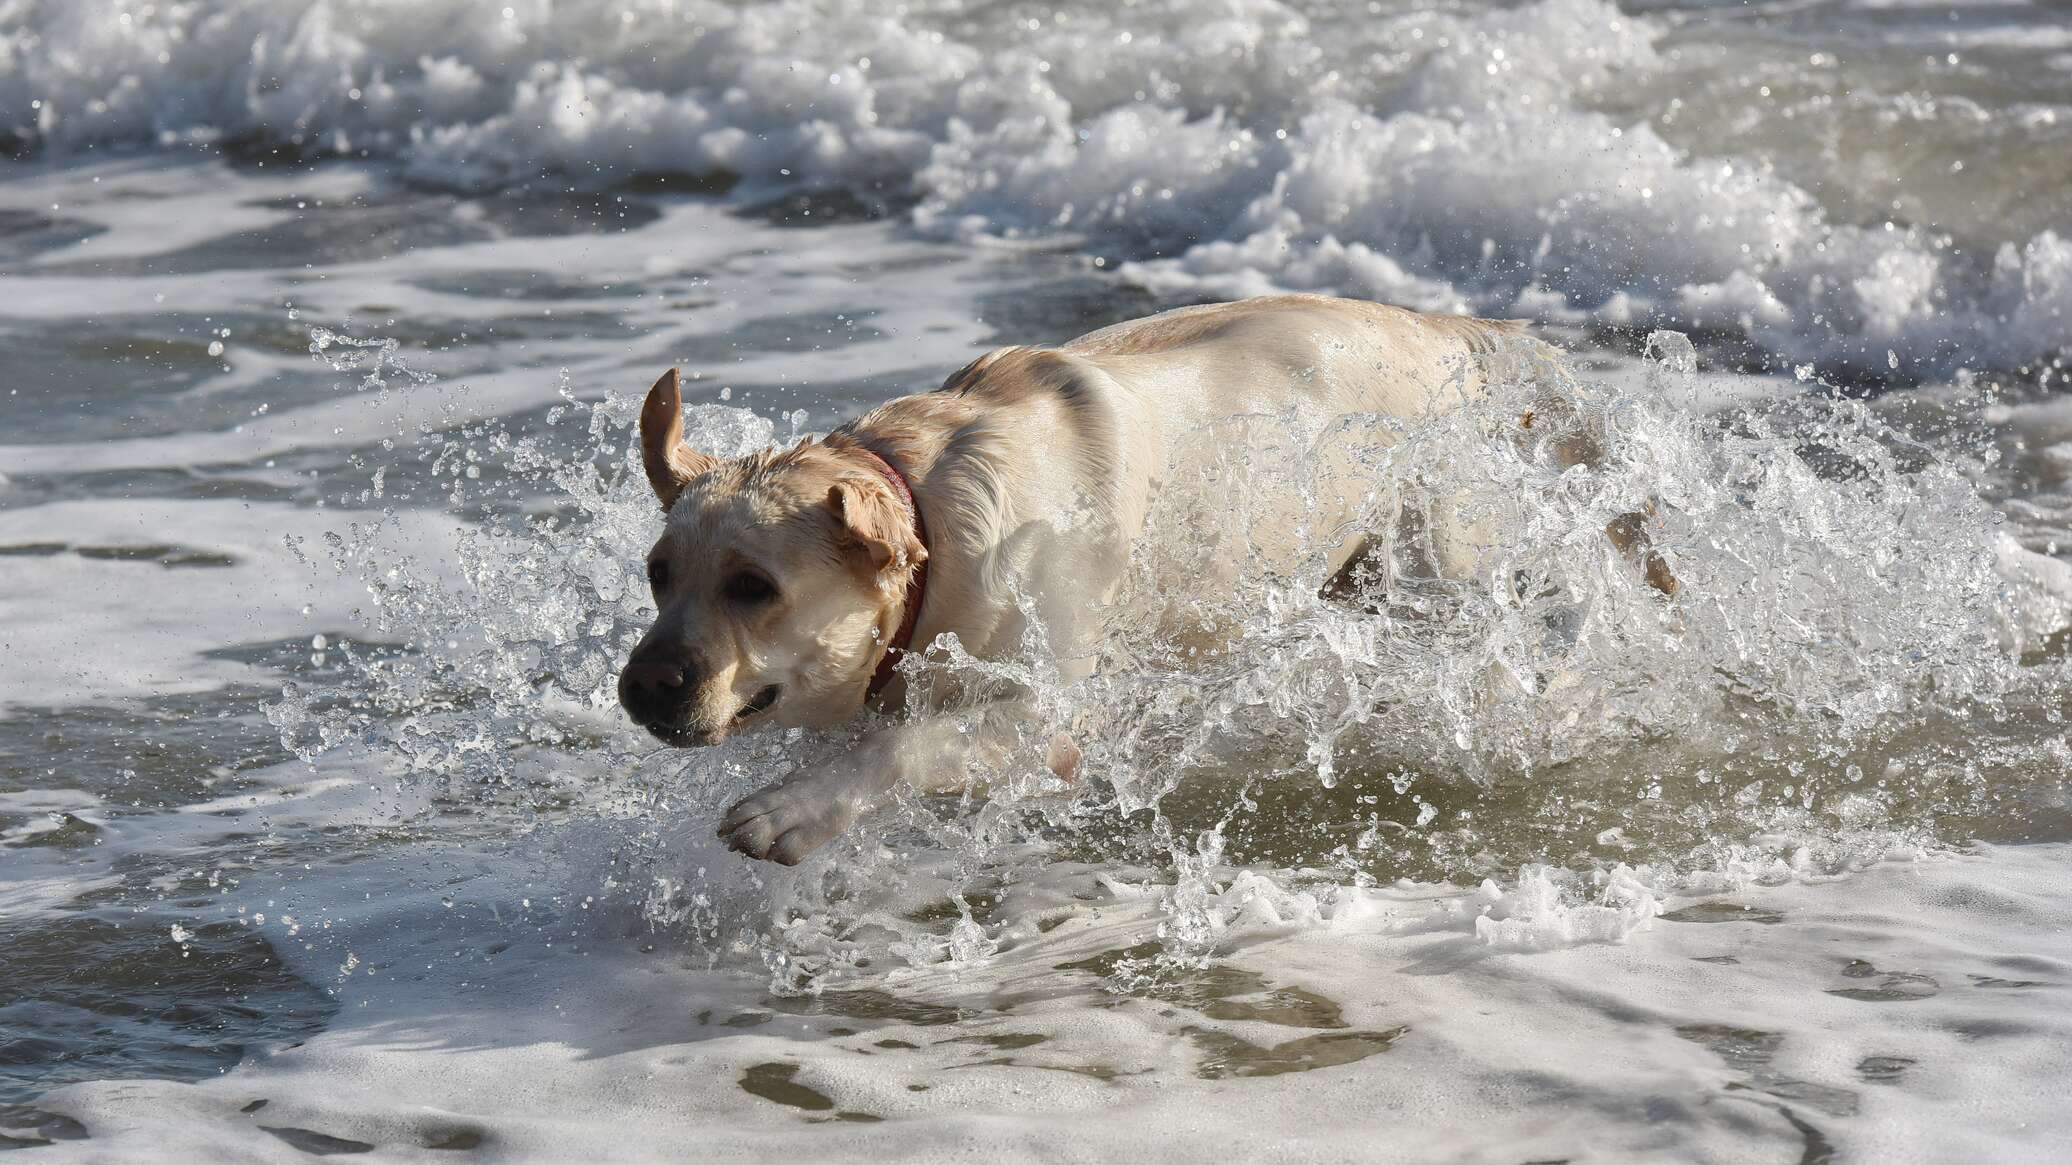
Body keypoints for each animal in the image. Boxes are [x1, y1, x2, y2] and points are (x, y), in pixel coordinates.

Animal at [609, 296, 1665, 862]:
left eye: (754, 586)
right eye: (659, 574)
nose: (641, 686)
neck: (932, 525)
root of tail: (1453, 329)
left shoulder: (1048, 721)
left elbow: (906, 748)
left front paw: (793, 808)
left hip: (1440, 561)